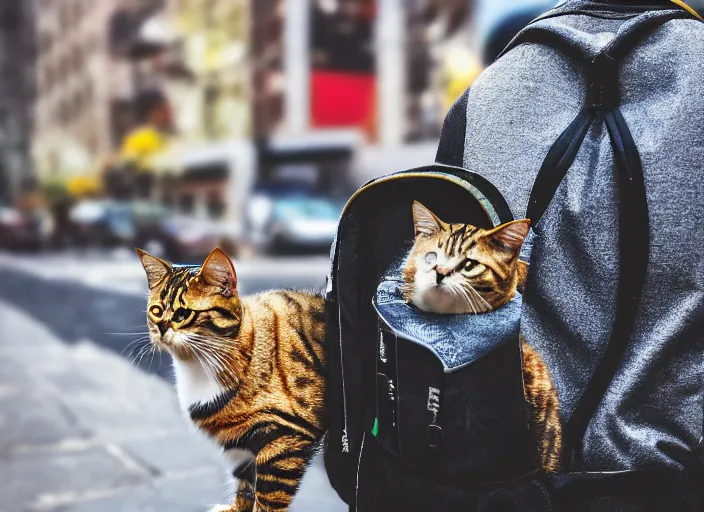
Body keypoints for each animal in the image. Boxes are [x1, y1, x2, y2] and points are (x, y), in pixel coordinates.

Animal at [135, 246, 328, 510]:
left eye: (184, 314)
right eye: (156, 311)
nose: (162, 328)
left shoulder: (286, 438)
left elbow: (268, 498)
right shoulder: (239, 442)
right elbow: (244, 482)